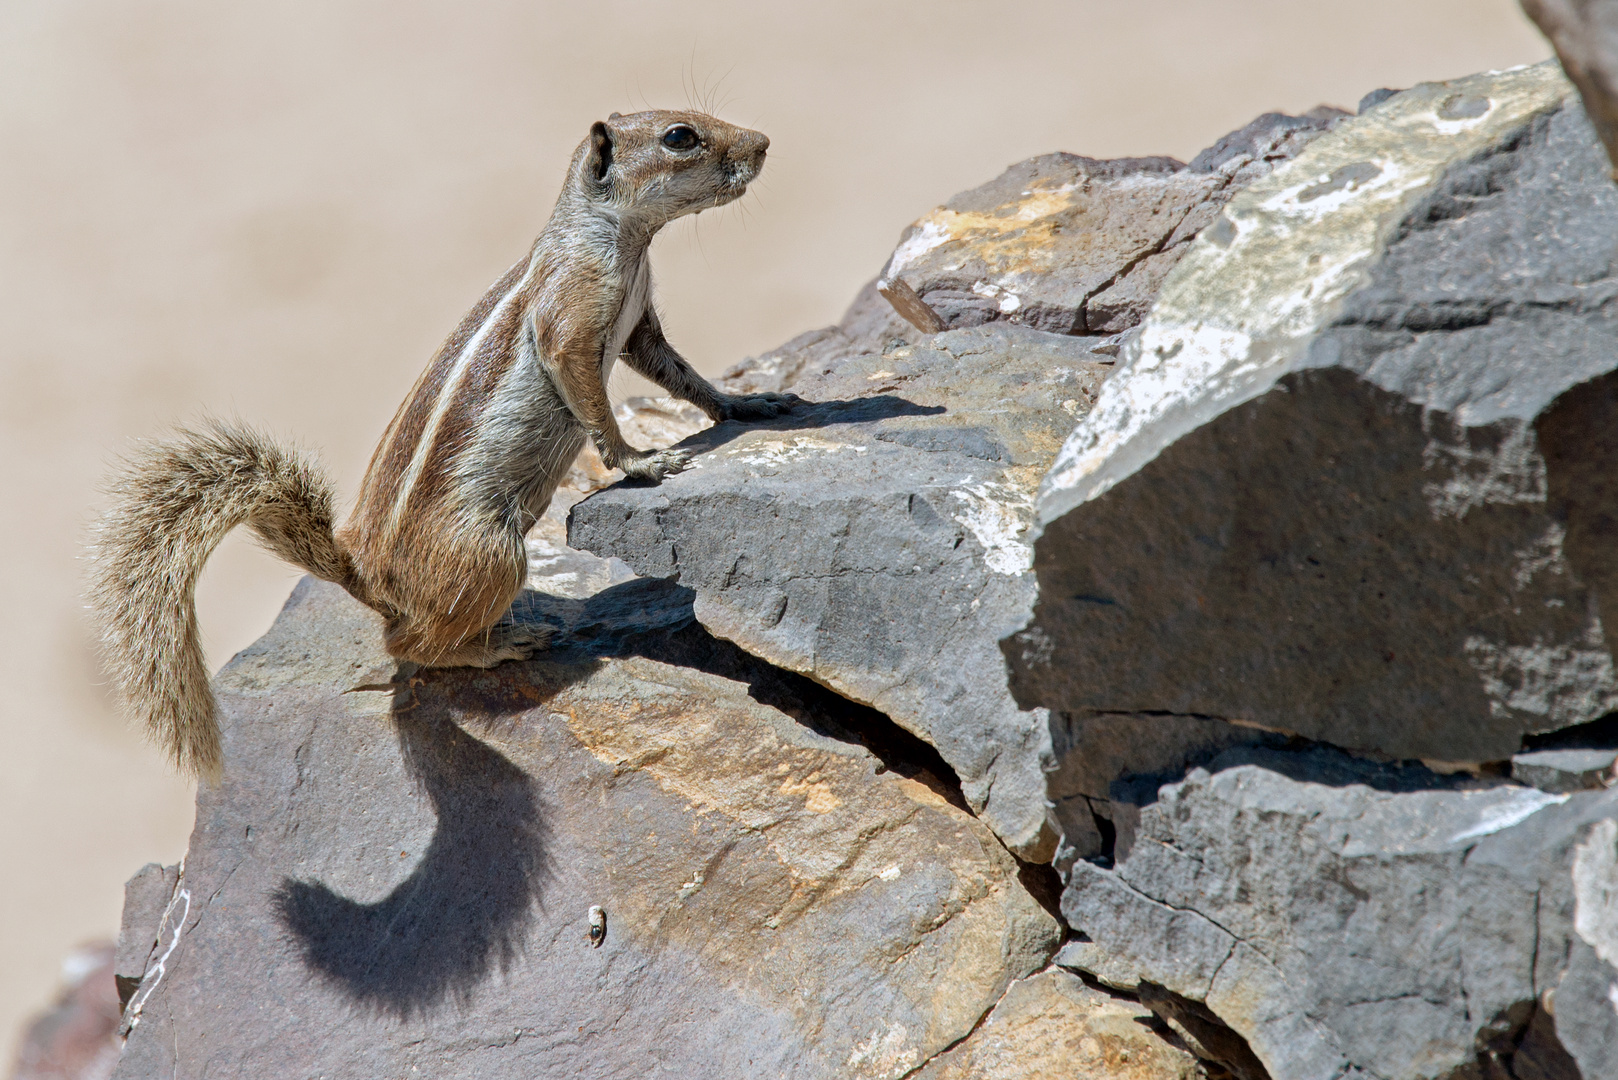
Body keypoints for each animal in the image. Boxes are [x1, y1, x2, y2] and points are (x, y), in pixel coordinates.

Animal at [88, 110, 796, 777]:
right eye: (680, 136)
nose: (764, 143)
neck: (622, 243)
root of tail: (364, 577)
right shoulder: (571, 325)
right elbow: (589, 397)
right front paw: (642, 460)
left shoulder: (639, 327)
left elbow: (680, 374)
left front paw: (748, 403)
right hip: (492, 556)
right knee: (407, 648)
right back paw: (500, 644)